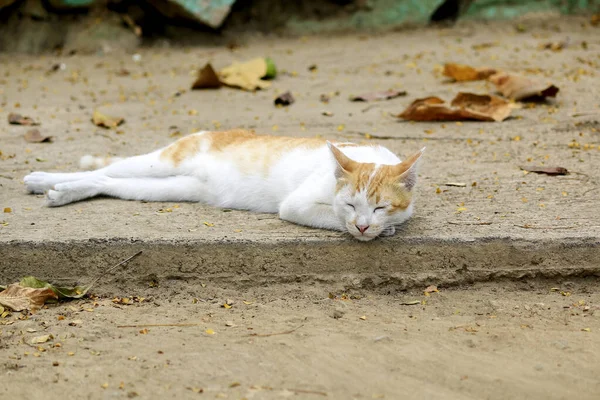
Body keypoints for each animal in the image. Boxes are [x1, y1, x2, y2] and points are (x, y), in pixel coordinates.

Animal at [23, 130, 424, 241]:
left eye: (380, 206)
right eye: (351, 204)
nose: (363, 225)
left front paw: (383, 228)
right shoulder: (296, 205)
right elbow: (329, 217)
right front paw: (370, 232)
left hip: (171, 187)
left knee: (106, 180)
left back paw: (62, 192)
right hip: (164, 161)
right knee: (111, 168)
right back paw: (44, 180)